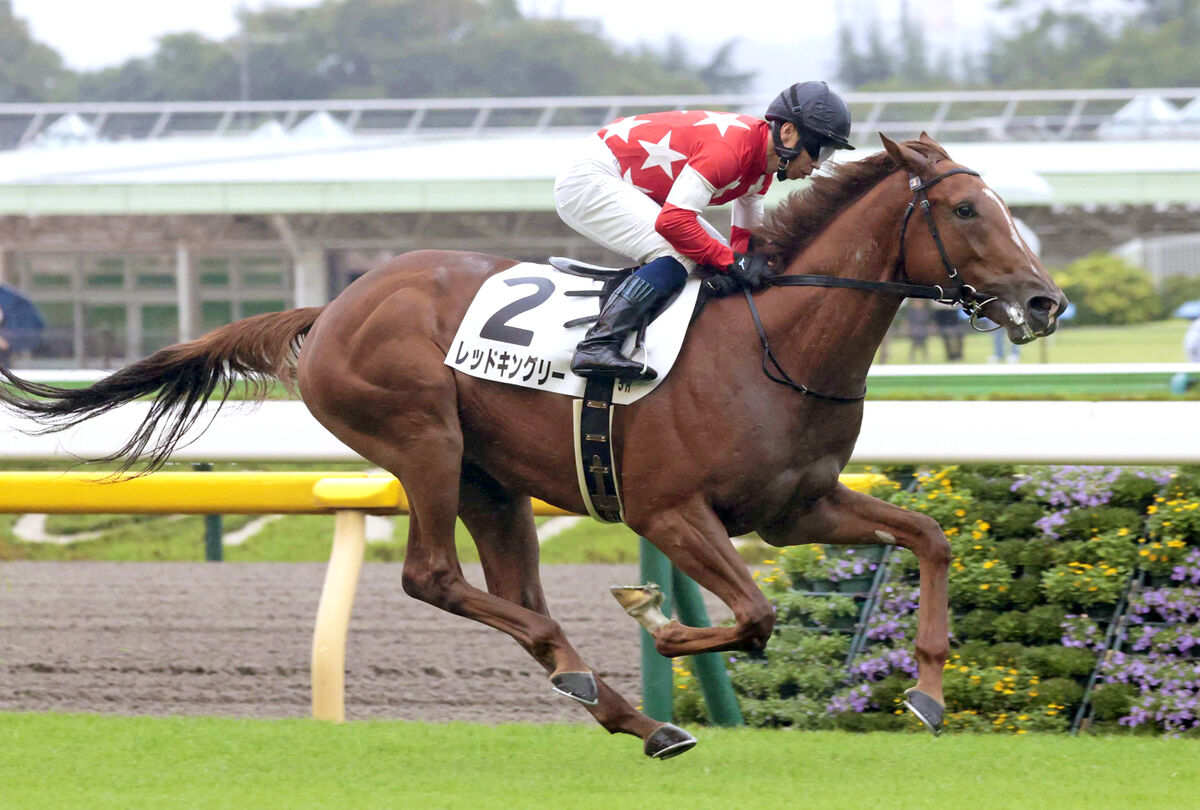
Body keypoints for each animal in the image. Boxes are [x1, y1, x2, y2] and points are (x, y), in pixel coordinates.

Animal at [2, 134, 1070, 758]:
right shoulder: (671, 513)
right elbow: (756, 614)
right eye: (967, 210)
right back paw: (599, 678)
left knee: (513, 591)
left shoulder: (797, 507)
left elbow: (929, 538)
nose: (1044, 301)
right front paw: (660, 622)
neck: (776, 340)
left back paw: (624, 708)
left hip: (492, 479)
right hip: (423, 439)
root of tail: (331, 305)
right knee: (433, 577)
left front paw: (926, 695)